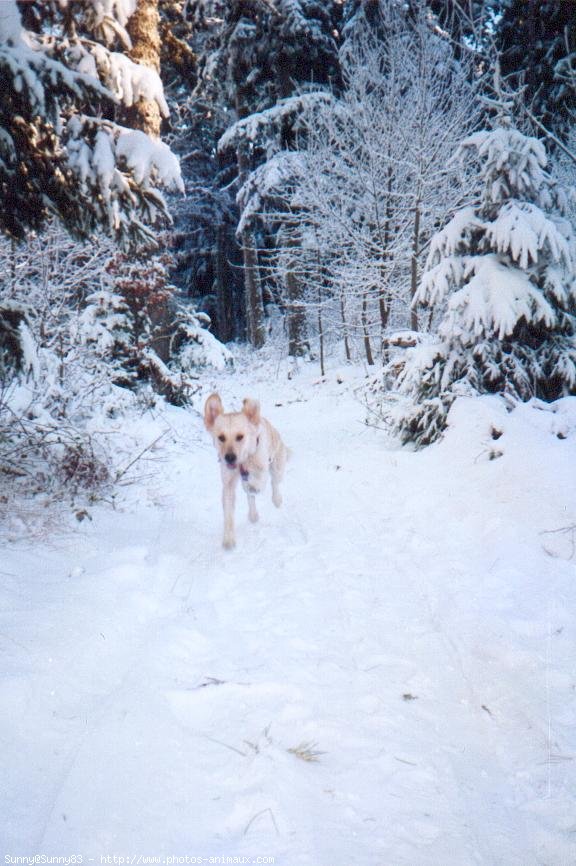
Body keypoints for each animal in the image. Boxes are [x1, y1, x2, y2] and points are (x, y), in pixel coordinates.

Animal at [205, 392, 290, 548]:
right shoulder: (228, 483)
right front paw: (228, 539)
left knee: (275, 482)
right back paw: (253, 514)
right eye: (221, 437)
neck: (244, 460)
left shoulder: (261, 470)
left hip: (278, 464)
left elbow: (258, 482)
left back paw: (276, 499)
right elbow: (229, 511)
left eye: (240, 437)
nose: (229, 457)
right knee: (250, 496)